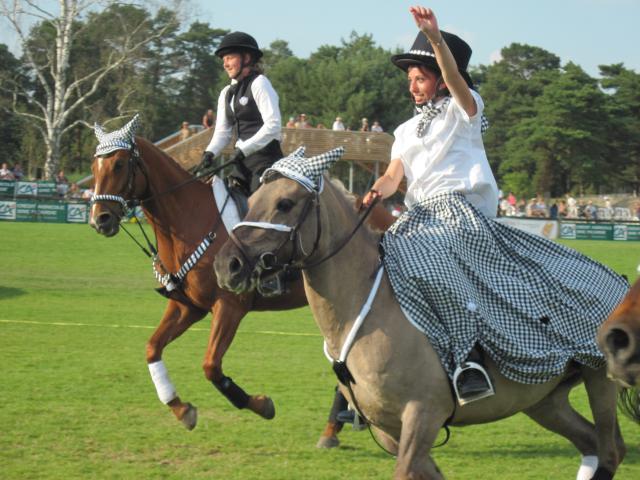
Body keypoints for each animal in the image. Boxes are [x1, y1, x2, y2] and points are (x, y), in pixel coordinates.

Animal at [87, 135, 392, 432]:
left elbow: (211, 366)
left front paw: (261, 404)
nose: (99, 219)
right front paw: (180, 408)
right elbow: (152, 348)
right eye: (93, 167)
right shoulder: (189, 307)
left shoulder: (230, 306)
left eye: (119, 165)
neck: (190, 220)